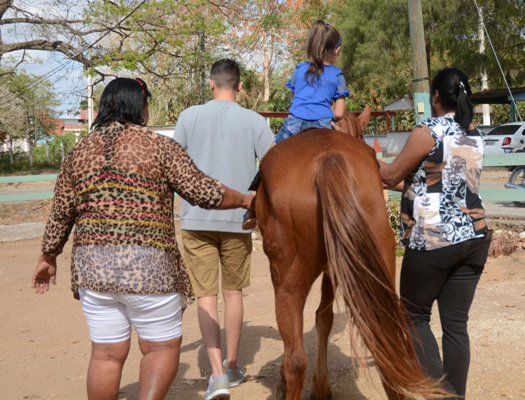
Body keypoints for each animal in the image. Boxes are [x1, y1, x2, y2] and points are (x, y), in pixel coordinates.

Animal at [254, 108, 442, 398]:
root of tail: (328, 159)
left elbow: (321, 318)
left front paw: (318, 387)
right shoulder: (337, 267)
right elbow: (324, 316)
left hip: (286, 277)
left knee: (295, 360)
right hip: (379, 263)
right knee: (385, 344)